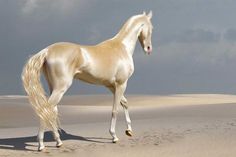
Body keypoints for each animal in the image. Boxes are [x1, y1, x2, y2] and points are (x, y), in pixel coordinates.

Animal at [21, 11, 153, 151]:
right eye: (151, 28)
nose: (148, 48)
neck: (121, 47)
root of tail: (47, 51)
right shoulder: (121, 84)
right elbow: (115, 110)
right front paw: (114, 136)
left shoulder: (112, 86)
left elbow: (125, 103)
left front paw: (129, 131)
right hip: (61, 88)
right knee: (46, 109)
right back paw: (41, 145)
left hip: (54, 88)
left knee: (51, 111)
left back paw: (58, 142)